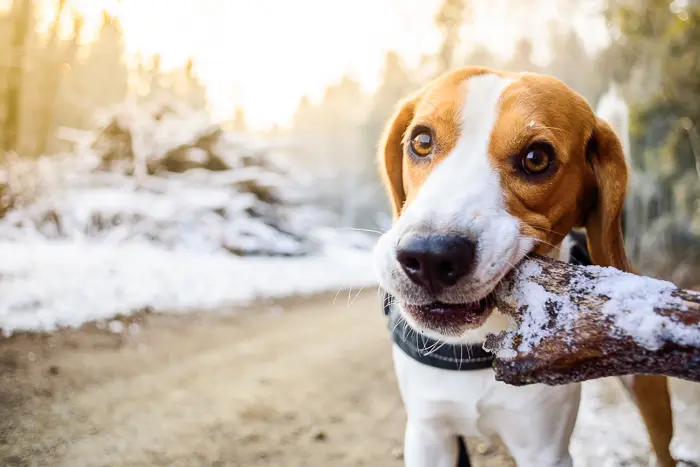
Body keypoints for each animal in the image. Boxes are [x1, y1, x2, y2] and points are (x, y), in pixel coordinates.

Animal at [374, 67, 676, 467]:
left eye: (536, 158)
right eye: (422, 141)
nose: (429, 257)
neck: (478, 344)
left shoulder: (543, 449)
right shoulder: (428, 436)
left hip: (651, 395)